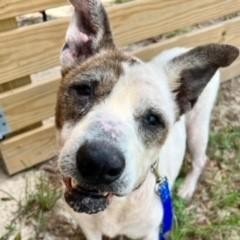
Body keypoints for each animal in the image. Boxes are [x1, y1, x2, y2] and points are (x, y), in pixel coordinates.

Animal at [55, 0, 238, 239]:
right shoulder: (90, 229)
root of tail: (180, 49)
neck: (115, 207)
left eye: (153, 119)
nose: (99, 163)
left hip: (198, 130)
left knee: (200, 159)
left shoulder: (149, 232)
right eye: (84, 90)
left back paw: (188, 187)